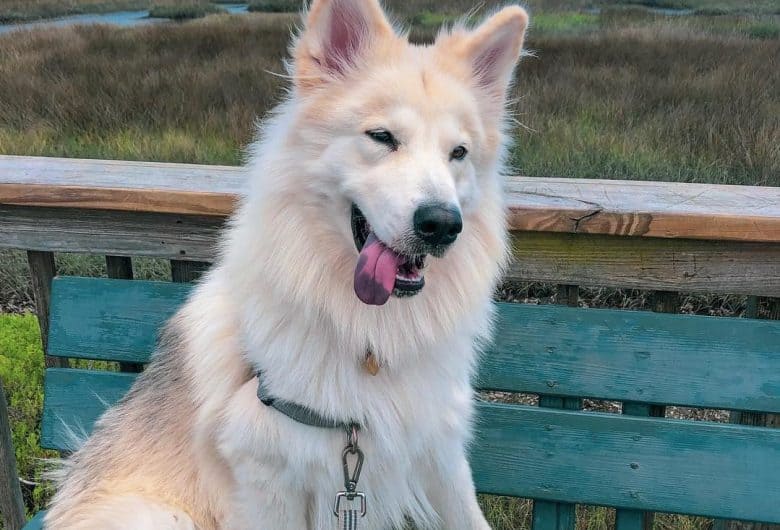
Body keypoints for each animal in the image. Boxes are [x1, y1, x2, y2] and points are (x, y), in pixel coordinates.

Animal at [44, 2, 532, 524]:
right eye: (382, 137)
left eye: (458, 153)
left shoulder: (437, 450)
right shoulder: (269, 474)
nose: (441, 224)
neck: (371, 336)